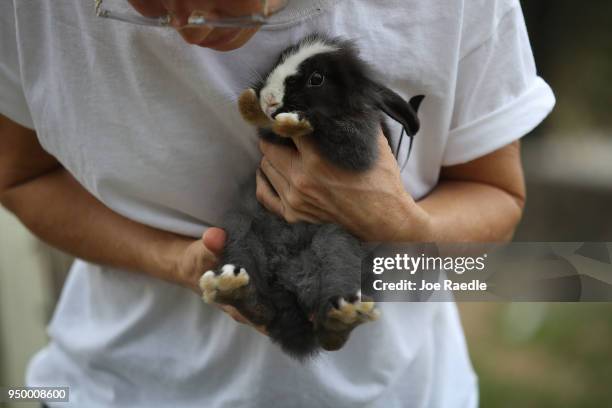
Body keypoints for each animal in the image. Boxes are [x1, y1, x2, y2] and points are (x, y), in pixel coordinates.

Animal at [198, 35, 424, 360]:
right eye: (280, 59)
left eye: (317, 79)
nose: (269, 98)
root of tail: (288, 285)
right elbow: (268, 127)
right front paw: (249, 103)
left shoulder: (360, 141)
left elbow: (332, 131)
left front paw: (296, 121)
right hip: (240, 230)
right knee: (260, 304)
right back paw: (234, 289)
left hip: (337, 243)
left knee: (329, 319)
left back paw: (341, 319)